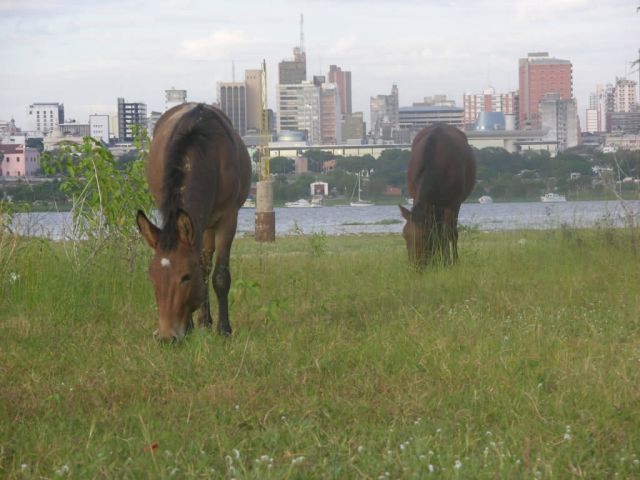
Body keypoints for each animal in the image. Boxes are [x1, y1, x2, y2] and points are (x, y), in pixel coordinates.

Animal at [136, 103, 251, 341]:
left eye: (186, 277)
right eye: (152, 277)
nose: (166, 336)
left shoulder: (228, 218)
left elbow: (220, 276)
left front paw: (224, 329)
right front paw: (189, 325)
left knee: (206, 266)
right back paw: (203, 320)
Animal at [399, 124, 476, 267]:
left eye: (424, 236)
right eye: (405, 235)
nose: (416, 266)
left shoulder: (453, 204)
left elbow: (449, 234)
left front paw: (450, 261)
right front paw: (437, 260)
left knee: (448, 232)